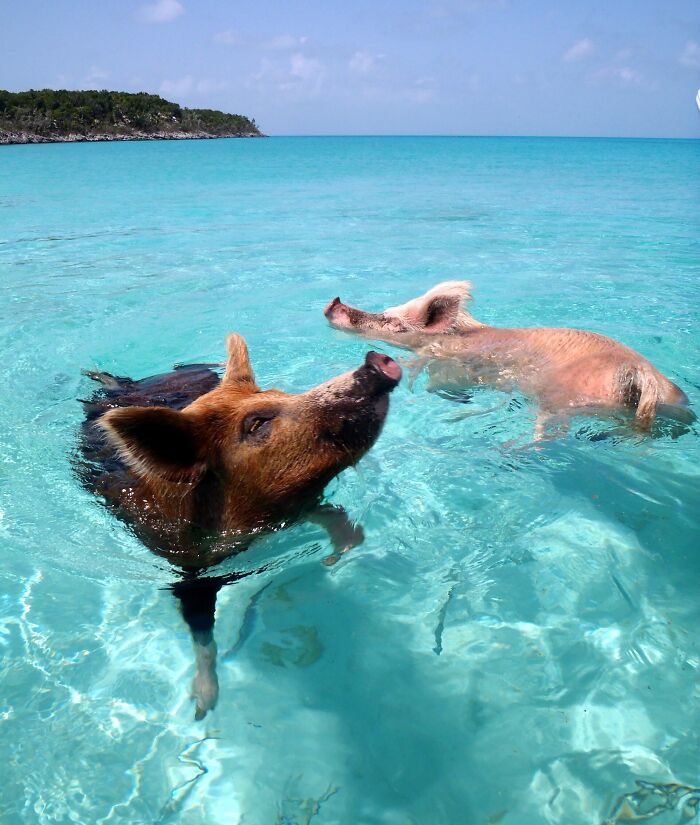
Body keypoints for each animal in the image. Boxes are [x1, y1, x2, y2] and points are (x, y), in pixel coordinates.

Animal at [77, 333, 401, 718]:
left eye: (280, 393)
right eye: (257, 423)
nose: (378, 361)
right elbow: (202, 634)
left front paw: (337, 555)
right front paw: (204, 708)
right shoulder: (188, 571)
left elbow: (332, 517)